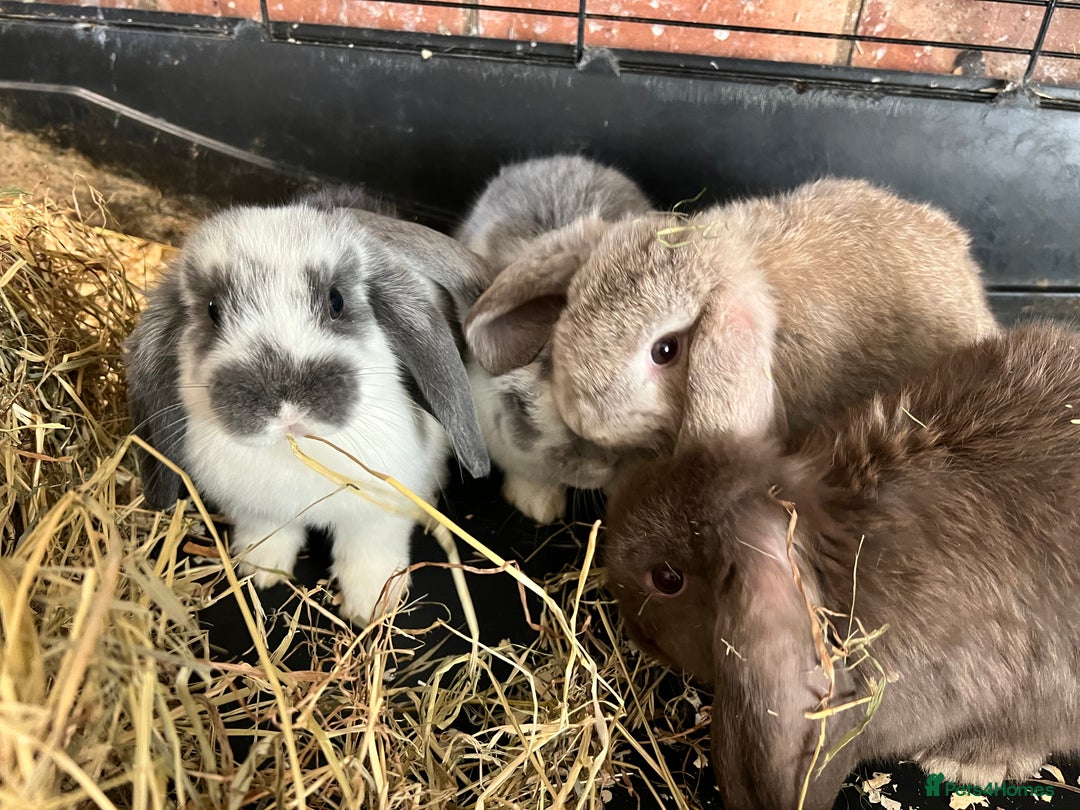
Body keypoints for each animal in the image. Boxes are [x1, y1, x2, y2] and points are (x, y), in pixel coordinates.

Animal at [126, 192, 491, 623]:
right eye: (213, 309)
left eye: (336, 300)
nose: (286, 406)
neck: (296, 458)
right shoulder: (258, 511)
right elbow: (269, 534)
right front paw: (262, 571)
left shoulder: (378, 513)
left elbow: (368, 551)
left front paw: (372, 604)